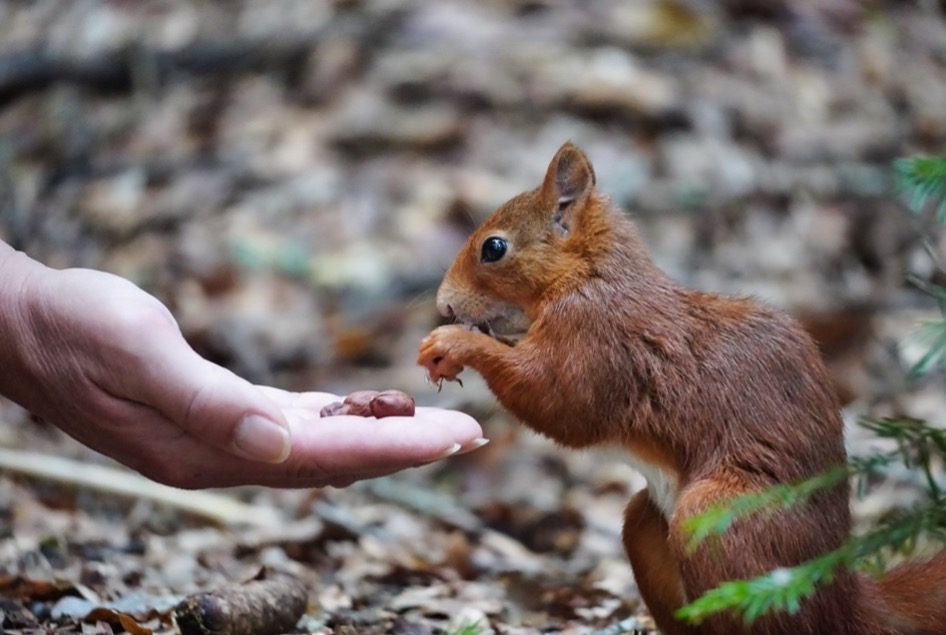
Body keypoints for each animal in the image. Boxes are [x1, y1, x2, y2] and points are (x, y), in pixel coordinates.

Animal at [417, 143, 946, 635]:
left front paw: (455, 343)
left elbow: (559, 403)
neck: (589, 275)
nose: (444, 305)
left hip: (719, 517)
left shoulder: (598, 339)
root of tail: (837, 600)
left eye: (494, 248)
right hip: (648, 525)